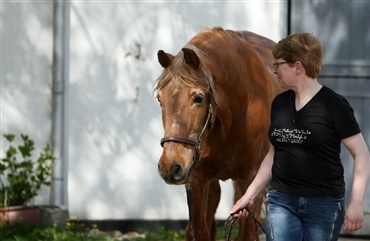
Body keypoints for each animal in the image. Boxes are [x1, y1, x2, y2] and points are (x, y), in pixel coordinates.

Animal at [155, 27, 282, 240]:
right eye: (159, 99)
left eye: (198, 98)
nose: (170, 167)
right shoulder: (197, 180)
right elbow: (199, 231)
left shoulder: (252, 178)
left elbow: (247, 234)